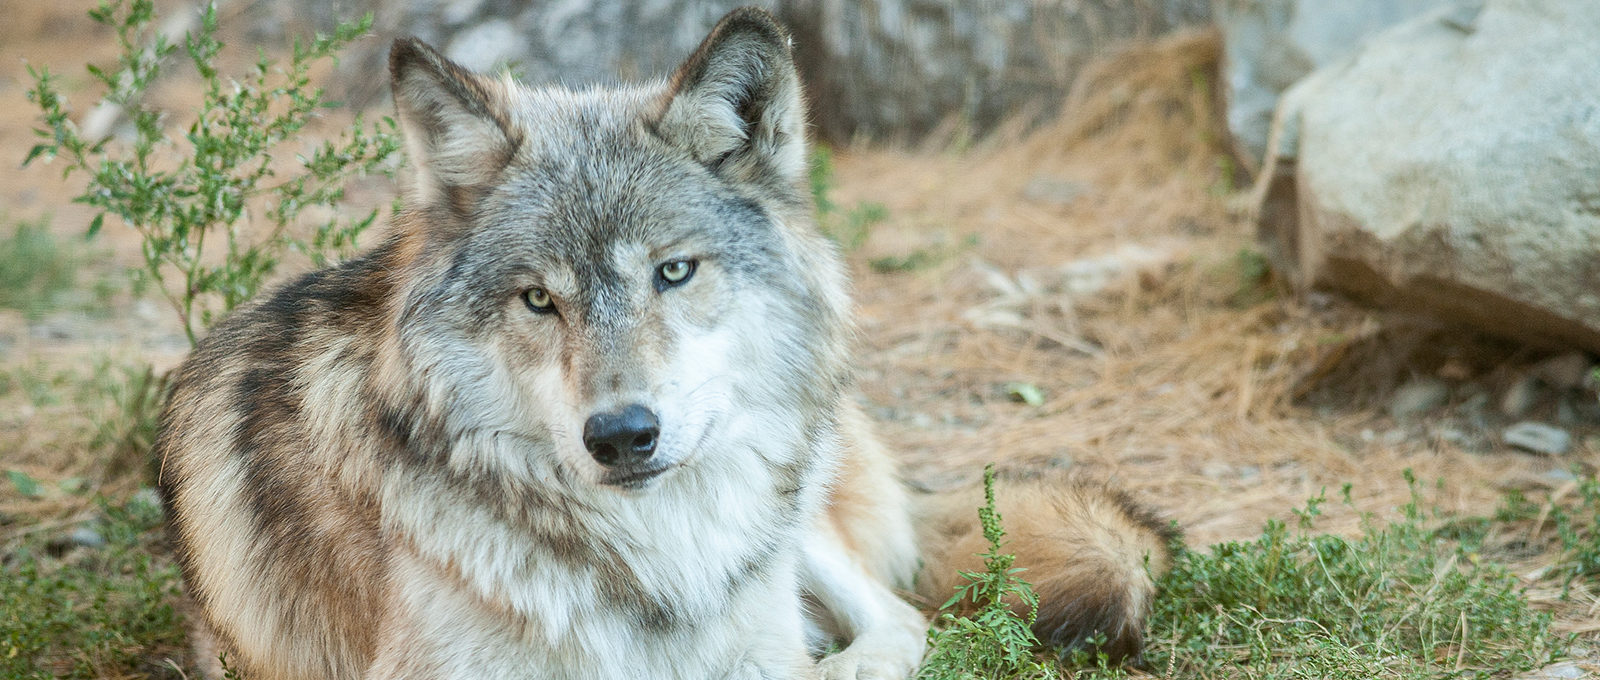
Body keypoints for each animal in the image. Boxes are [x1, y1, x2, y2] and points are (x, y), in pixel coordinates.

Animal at [156, 7, 1174, 679]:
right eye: (539, 300)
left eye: (673, 272)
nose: (621, 436)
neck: (644, 570)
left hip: (791, 517)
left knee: (893, 619)